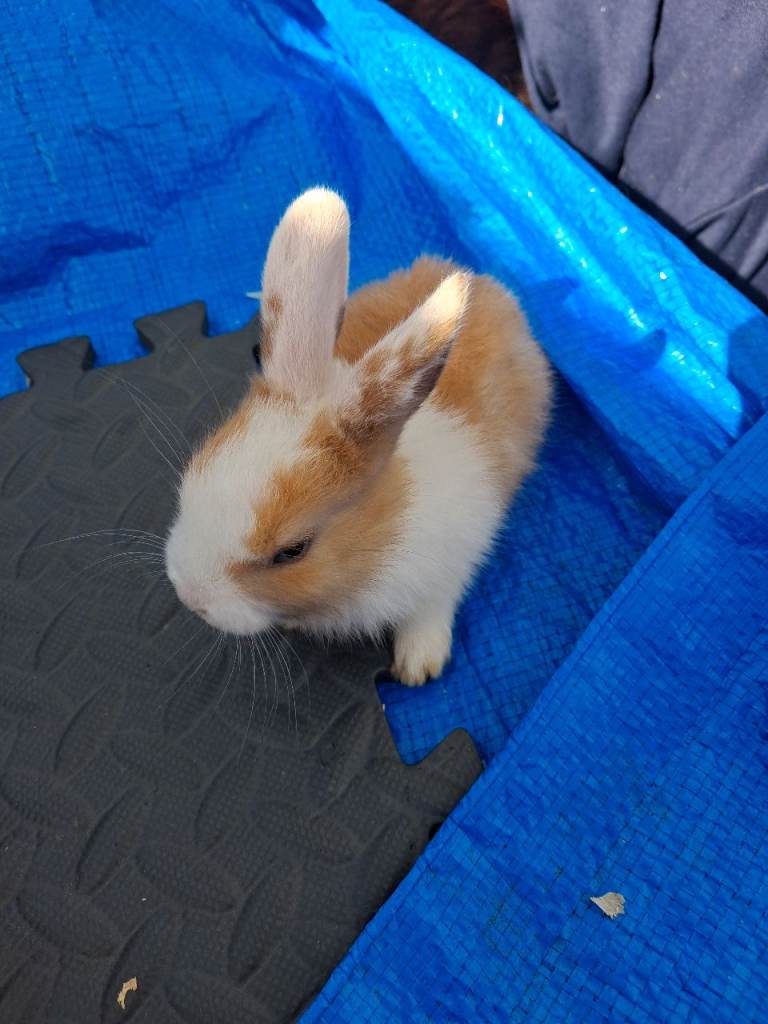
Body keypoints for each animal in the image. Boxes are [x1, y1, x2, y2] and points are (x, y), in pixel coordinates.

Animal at [165, 187, 552, 685]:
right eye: (193, 476)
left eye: (292, 551)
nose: (191, 597)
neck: (380, 536)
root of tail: (490, 285)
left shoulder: (455, 561)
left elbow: (432, 610)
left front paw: (418, 666)